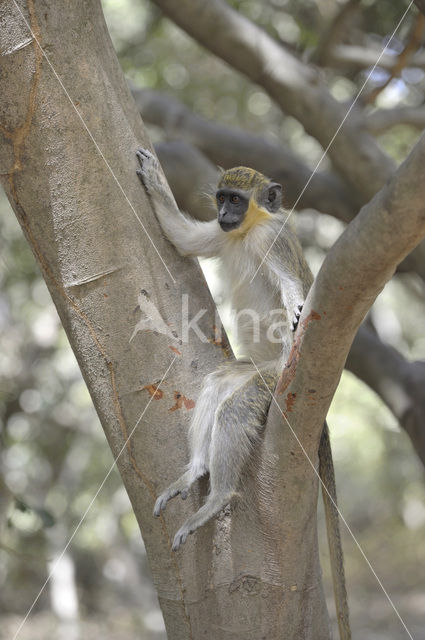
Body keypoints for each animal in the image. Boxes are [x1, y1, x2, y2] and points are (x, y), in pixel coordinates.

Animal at [137, 151, 352, 640]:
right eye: (220, 198)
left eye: (236, 199)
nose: (224, 214)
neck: (249, 231)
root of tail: (271, 369)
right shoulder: (222, 235)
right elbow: (184, 238)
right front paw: (155, 181)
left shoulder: (274, 239)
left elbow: (293, 289)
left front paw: (296, 309)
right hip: (250, 371)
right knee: (217, 385)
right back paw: (196, 471)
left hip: (270, 382)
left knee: (236, 408)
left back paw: (218, 498)